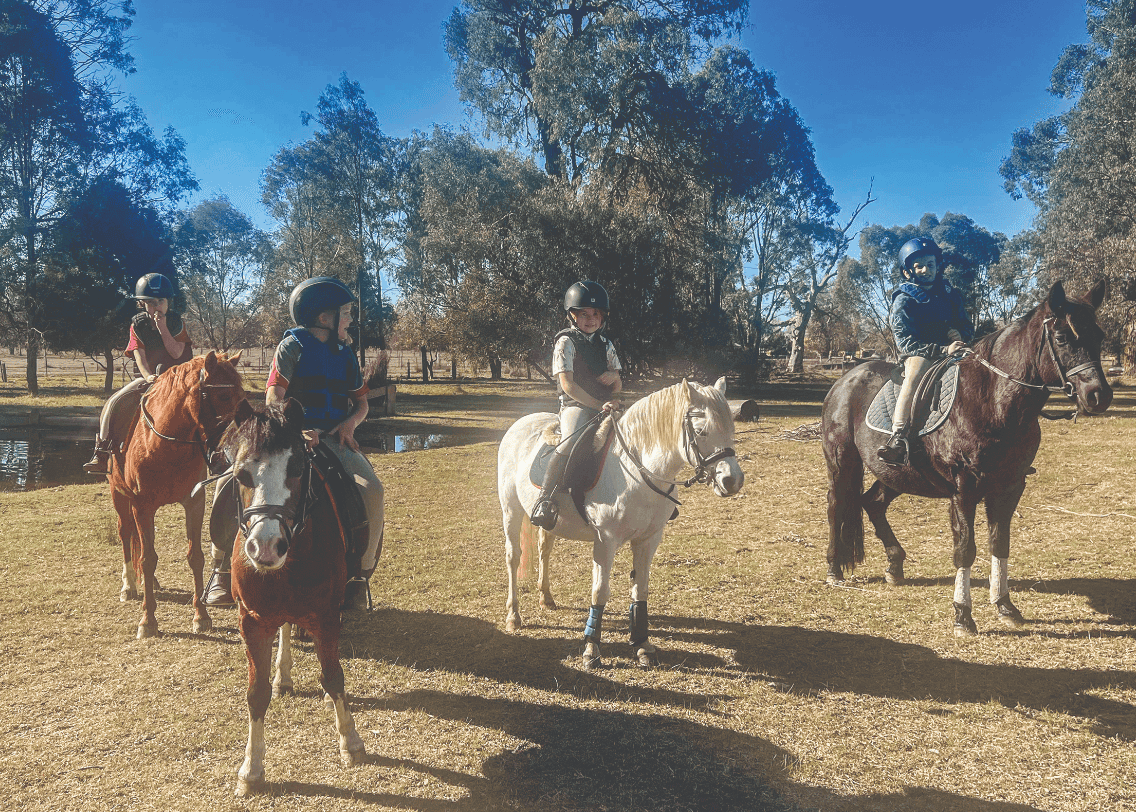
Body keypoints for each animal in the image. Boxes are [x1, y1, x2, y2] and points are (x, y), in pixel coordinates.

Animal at [107, 352, 244, 640]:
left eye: (242, 394)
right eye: (224, 396)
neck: (164, 443)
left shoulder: (194, 502)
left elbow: (195, 556)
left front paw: (201, 616)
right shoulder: (142, 506)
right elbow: (148, 558)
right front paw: (147, 620)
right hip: (119, 496)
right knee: (125, 534)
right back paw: (129, 585)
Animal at [221, 397, 363, 799]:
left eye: (298, 468)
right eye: (241, 475)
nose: (267, 546)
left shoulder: (327, 615)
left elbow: (333, 676)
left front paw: (350, 742)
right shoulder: (252, 621)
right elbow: (255, 693)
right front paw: (251, 769)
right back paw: (282, 676)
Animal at [497, 377, 745, 672]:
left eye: (731, 428)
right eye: (701, 431)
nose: (733, 481)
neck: (636, 472)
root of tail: (521, 422)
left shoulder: (649, 539)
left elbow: (641, 589)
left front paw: (642, 645)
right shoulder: (606, 539)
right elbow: (600, 592)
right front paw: (591, 649)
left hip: (549, 522)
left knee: (544, 548)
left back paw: (546, 598)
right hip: (511, 509)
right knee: (513, 557)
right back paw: (514, 615)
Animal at [822, 282, 1113, 640]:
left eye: (1099, 335)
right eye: (1061, 337)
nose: (1099, 395)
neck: (992, 400)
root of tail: (845, 379)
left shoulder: (1010, 486)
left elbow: (1000, 543)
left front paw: (1005, 606)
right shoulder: (964, 489)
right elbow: (965, 549)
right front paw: (963, 615)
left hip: (898, 473)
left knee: (872, 502)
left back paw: (894, 565)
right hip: (842, 461)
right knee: (837, 504)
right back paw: (834, 568)